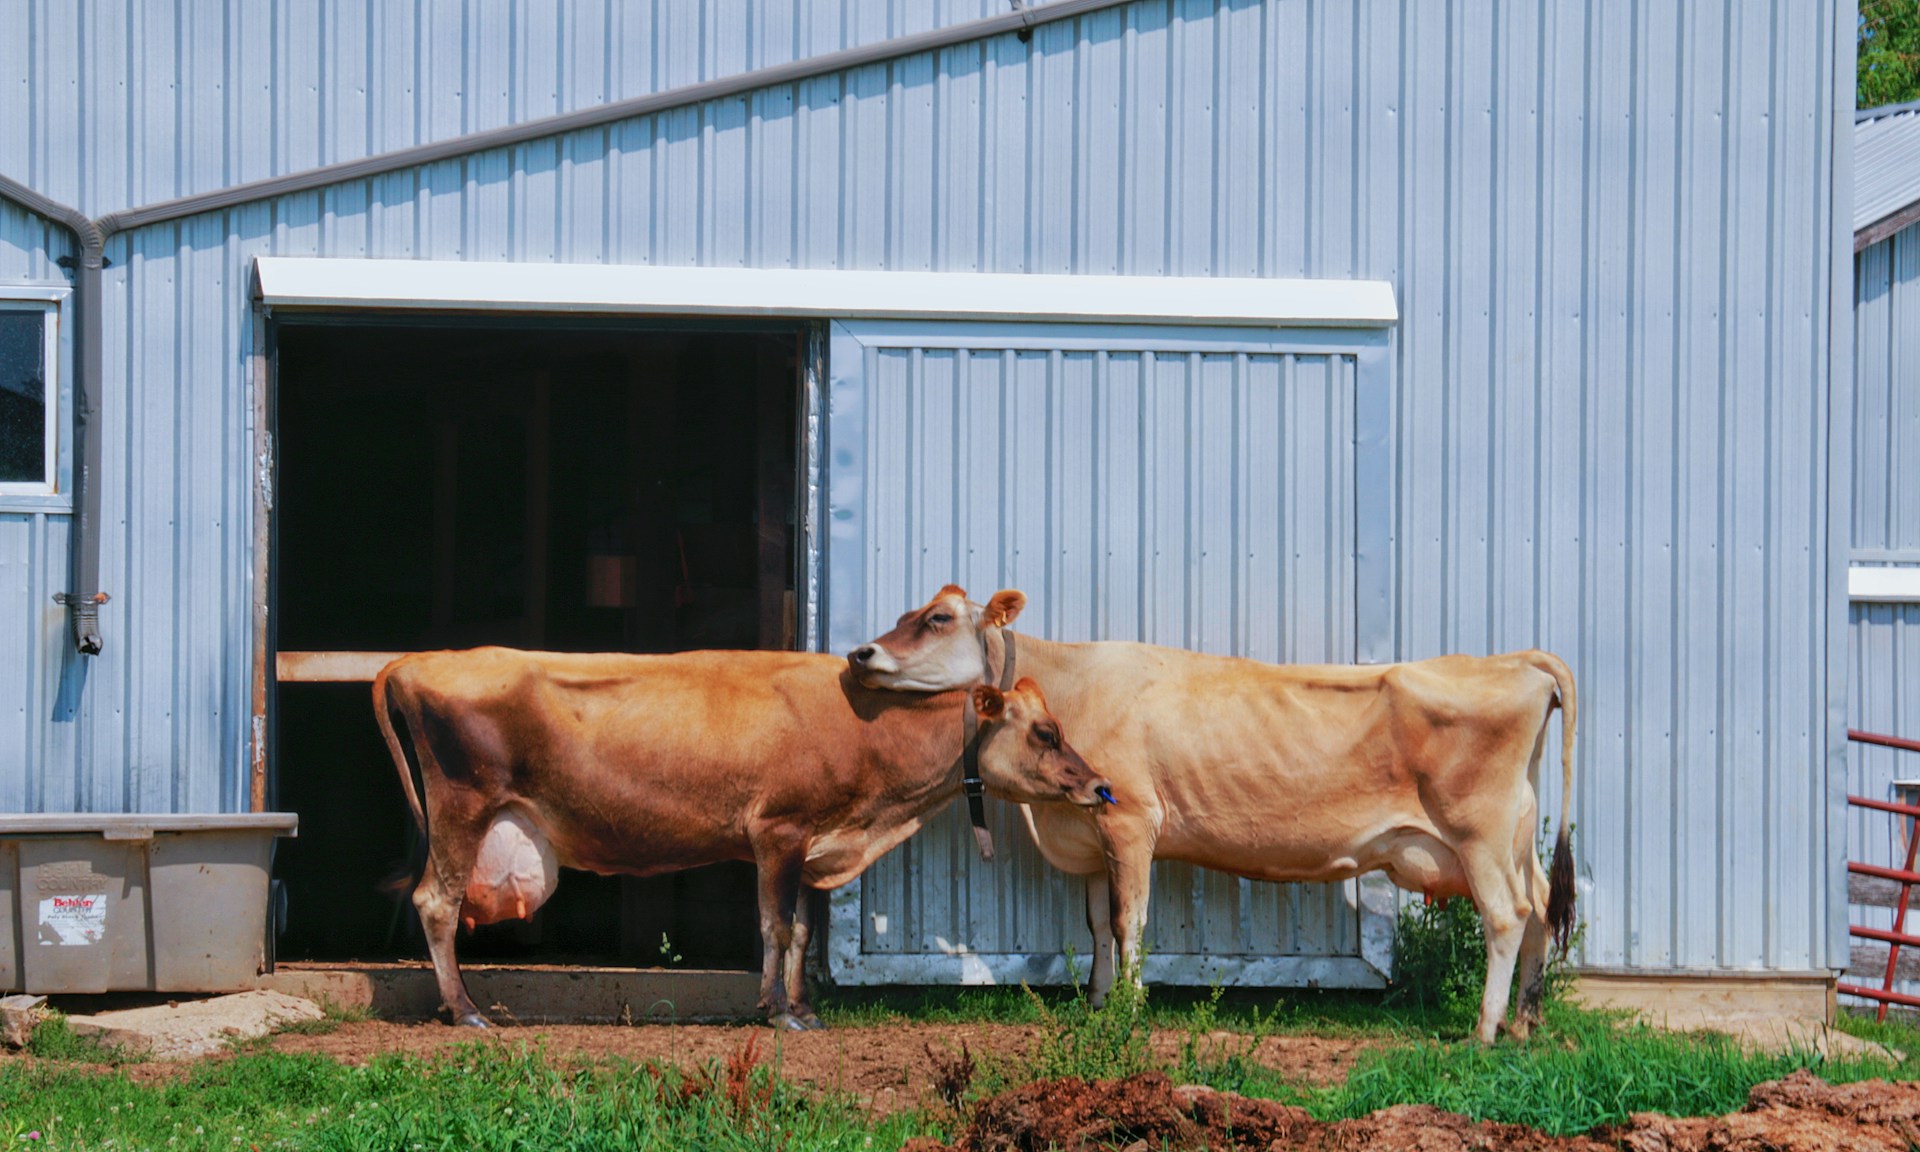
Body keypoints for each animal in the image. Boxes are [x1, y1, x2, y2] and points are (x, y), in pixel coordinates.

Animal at [373, 647, 1111, 1030]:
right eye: (1046, 732)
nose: (1100, 784)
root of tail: (418, 660)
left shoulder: (811, 843)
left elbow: (803, 932)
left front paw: (803, 1007)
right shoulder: (778, 829)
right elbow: (776, 926)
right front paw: (779, 1011)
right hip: (462, 804)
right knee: (436, 902)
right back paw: (466, 1010)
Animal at [847, 586, 1577, 1045]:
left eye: (939, 618)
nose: (860, 654)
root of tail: (1516, 659)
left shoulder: (1130, 818)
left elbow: (1129, 921)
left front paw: (1129, 1010)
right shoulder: (1091, 832)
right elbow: (1097, 926)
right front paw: (1096, 1003)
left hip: (1478, 832)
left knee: (1507, 916)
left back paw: (1483, 1031)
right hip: (1514, 832)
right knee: (1542, 908)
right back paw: (1525, 1023)